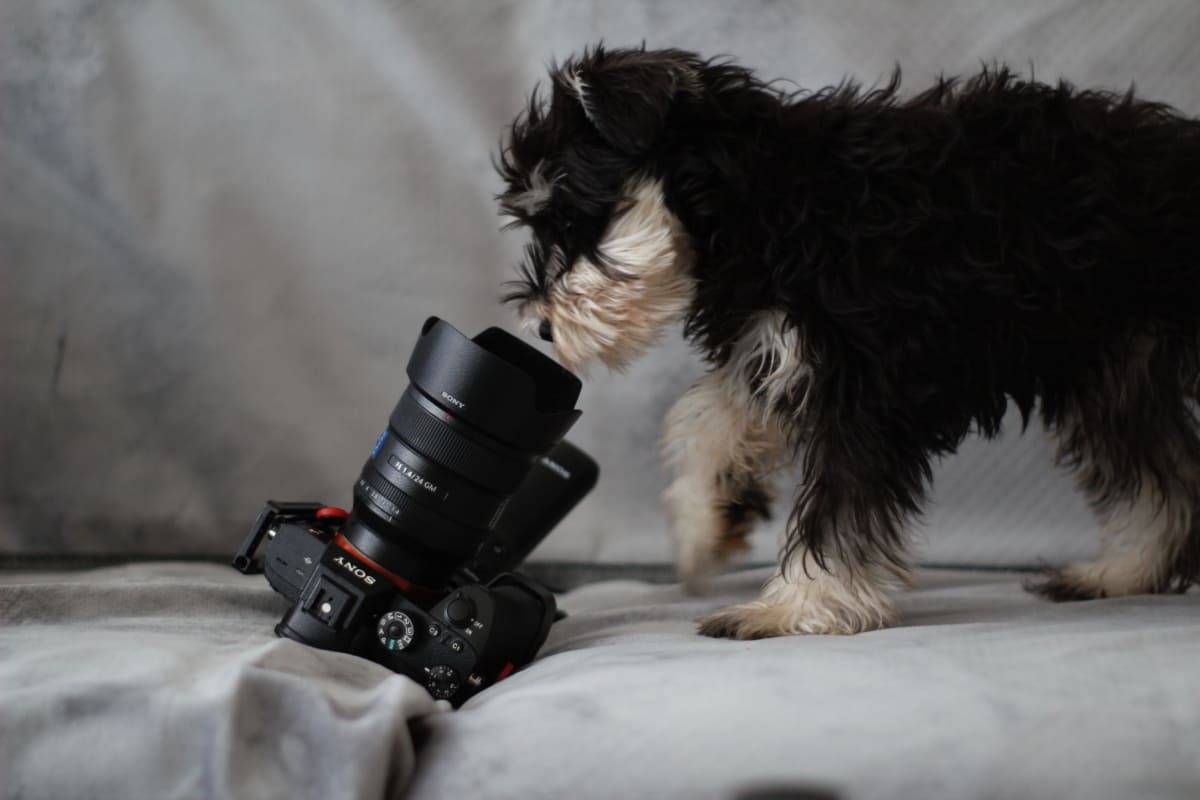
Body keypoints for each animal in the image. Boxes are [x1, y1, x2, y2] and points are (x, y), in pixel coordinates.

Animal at [489, 47, 1200, 642]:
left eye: (572, 218)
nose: (542, 327)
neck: (765, 198)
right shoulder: (778, 349)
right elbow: (710, 420)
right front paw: (703, 525)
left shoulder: (859, 389)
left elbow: (835, 508)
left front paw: (793, 607)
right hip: (1118, 370)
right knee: (1162, 476)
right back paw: (1121, 573)